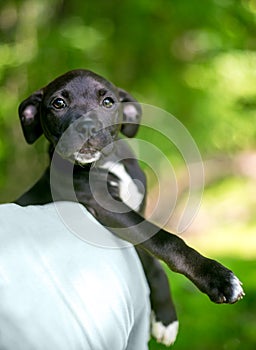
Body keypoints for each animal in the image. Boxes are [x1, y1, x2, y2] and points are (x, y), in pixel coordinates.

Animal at [15, 69, 244, 346]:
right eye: (58, 103)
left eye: (108, 102)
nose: (86, 126)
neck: (108, 164)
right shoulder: (109, 210)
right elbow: (167, 242)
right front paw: (217, 277)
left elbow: (154, 261)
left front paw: (165, 318)